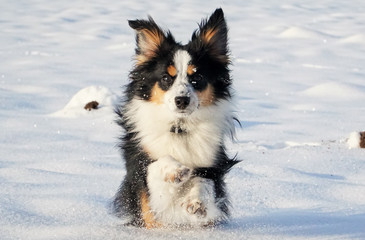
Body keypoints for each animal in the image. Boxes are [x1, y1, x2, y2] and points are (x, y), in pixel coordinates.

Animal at [112, 7, 240, 229]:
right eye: (165, 78)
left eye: (197, 78)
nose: (182, 100)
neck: (179, 128)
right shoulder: (141, 173)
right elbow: (155, 167)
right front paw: (175, 170)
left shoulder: (213, 166)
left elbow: (204, 183)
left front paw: (196, 201)